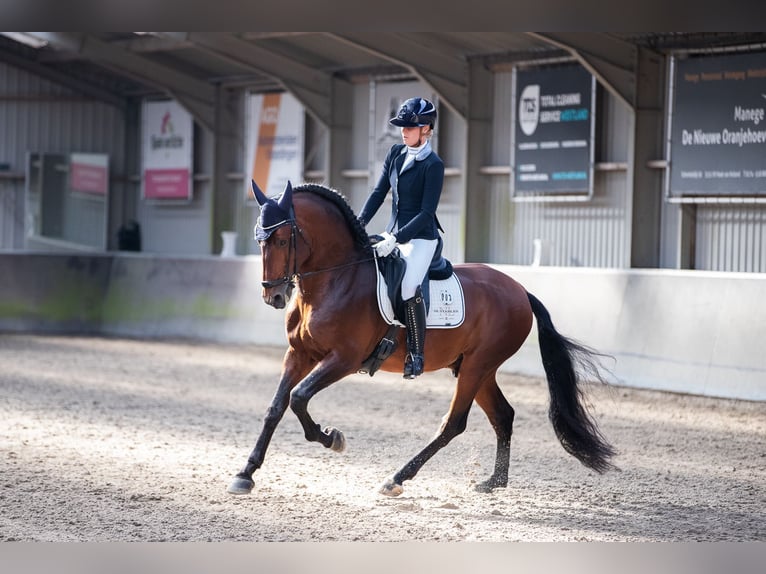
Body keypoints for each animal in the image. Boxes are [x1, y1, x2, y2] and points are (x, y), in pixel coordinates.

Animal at [228, 181, 616, 500]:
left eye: (282, 239)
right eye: (259, 240)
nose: (274, 296)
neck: (335, 280)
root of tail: (520, 290)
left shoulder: (343, 359)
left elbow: (298, 398)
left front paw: (333, 438)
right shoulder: (298, 354)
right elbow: (276, 407)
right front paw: (245, 474)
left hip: (477, 366)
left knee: (454, 423)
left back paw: (396, 479)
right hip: (476, 367)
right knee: (503, 415)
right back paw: (493, 482)